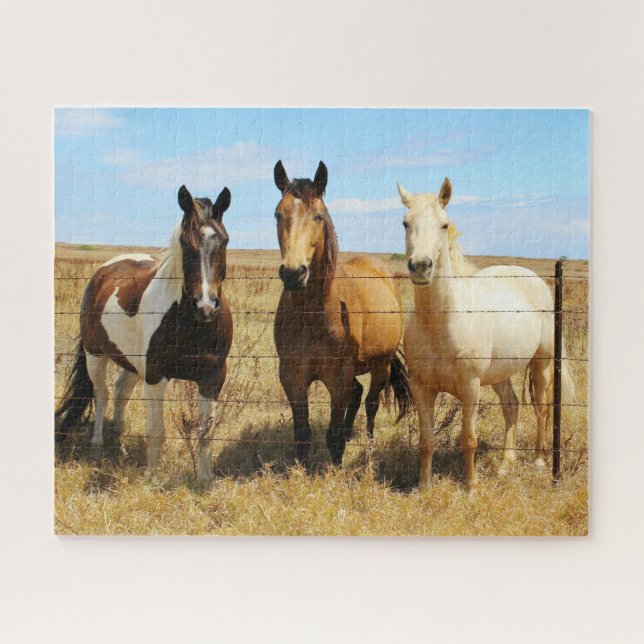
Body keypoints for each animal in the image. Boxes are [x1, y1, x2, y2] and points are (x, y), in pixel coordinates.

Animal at [55, 185, 233, 482]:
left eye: (224, 241)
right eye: (186, 244)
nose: (206, 306)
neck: (190, 324)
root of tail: (104, 271)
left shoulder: (212, 377)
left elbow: (206, 432)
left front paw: (204, 479)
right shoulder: (154, 376)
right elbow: (156, 431)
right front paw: (151, 477)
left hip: (132, 363)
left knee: (120, 392)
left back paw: (118, 445)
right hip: (95, 354)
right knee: (102, 393)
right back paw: (98, 444)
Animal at [272, 160, 413, 468]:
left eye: (318, 216)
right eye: (278, 214)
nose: (293, 273)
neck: (312, 314)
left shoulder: (338, 377)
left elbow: (333, 434)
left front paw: (334, 468)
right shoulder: (292, 375)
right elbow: (302, 432)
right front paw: (300, 469)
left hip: (381, 366)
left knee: (371, 403)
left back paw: (368, 445)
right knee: (358, 393)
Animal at [398, 178, 575, 490]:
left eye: (444, 225)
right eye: (406, 223)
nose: (420, 266)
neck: (440, 324)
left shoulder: (471, 388)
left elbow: (469, 439)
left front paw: (470, 487)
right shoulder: (421, 387)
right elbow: (425, 440)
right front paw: (424, 486)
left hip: (541, 365)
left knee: (541, 409)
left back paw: (539, 461)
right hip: (500, 373)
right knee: (511, 406)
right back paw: (506, 463)